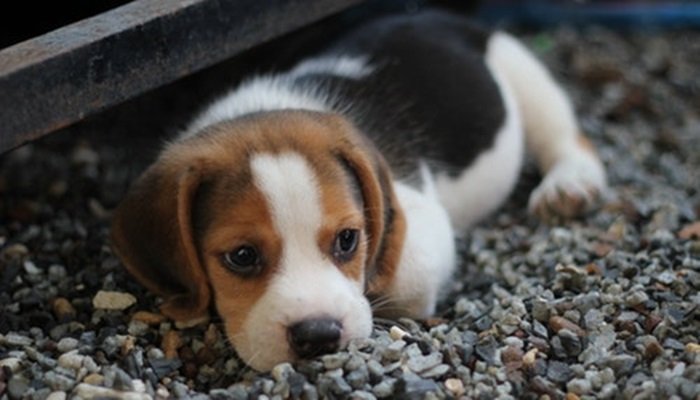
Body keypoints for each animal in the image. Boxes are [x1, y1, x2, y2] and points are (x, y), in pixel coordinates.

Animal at [110, 10, 608, 372]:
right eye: (242, 256)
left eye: (348, 240)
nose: (319, 335)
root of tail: (436, 16)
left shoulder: (421, 221)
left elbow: (398, 277)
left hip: (522, 72)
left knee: (565, 135)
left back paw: (569, 185)